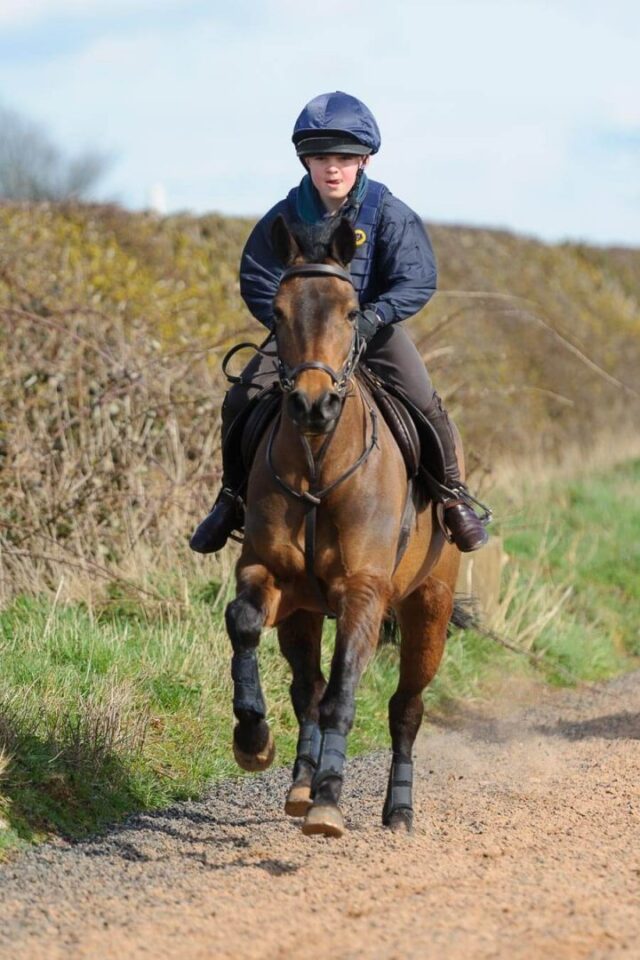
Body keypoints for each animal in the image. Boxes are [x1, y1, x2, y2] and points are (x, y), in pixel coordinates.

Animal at [224, 213, 461, 837]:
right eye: (279, 312)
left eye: (354, 312)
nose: (313, 405)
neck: (317, 464)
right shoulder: (268, 574)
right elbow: (243, 624)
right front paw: (253, 739)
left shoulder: (364, 591)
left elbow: (345, 689)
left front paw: (331, 800)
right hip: (304, 612)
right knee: (306, 688)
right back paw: (301, 783)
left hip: (429, 607)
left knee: (405, 708)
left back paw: (397, 808)